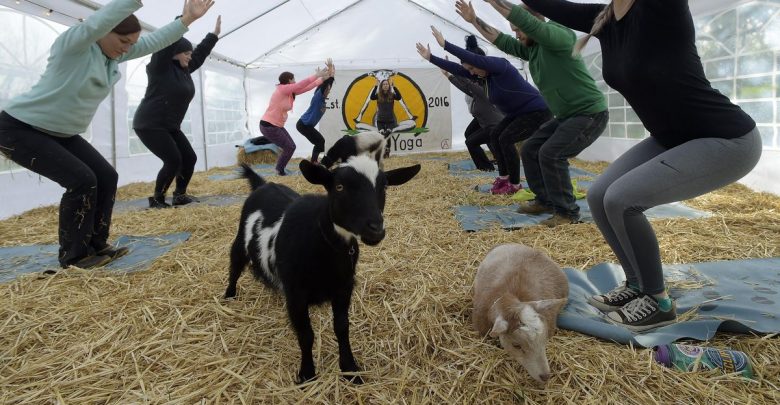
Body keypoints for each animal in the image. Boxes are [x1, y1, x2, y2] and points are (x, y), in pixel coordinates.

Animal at [225, 154, 420, 382]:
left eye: (385, 187)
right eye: (339, 186)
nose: (376, 229)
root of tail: (264, 184)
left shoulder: (344, 288)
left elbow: (342, 327)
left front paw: (350, 368)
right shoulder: (297, 295)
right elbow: (305, 335)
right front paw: (307, 373)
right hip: (240, 242)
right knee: (234, 266)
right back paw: (229, 296)